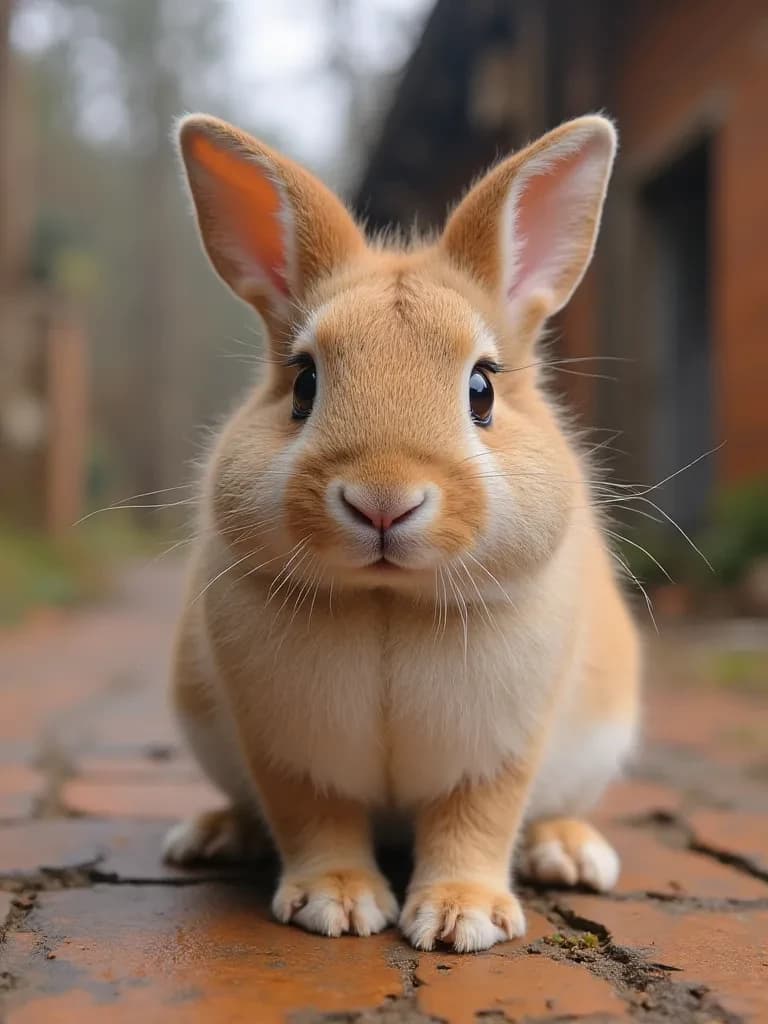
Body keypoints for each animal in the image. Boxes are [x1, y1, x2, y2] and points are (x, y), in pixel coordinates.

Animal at [163, 111, 641, 953]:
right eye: (304, 383)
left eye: (482, 389)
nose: (382, 500)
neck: (388, 598)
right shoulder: (288, 752)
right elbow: (314, 819)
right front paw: (337, 905)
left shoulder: (497, 753)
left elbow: (475, 823)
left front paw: (462, 919)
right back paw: (213, 835)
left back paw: (572, 855)